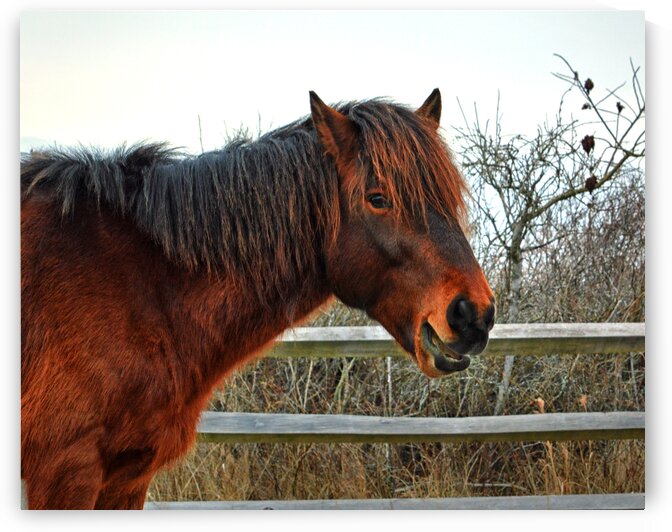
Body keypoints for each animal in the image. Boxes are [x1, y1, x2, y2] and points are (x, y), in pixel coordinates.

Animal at [21, 89, 495, 509]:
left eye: (449, 198)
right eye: (378, 199)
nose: (473, 314)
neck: (140, 286)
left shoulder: (128, 478)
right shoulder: (67, 473)